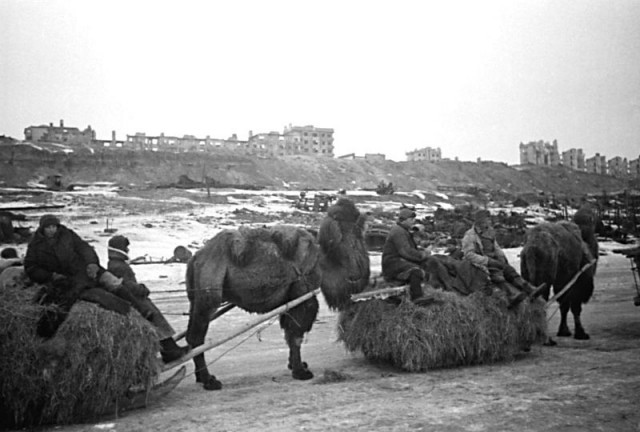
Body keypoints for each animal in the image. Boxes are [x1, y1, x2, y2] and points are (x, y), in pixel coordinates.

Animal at [184, 199, 370, 392]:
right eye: (358, 235)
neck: (322, 259)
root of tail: (196, 257)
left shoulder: (289, 299)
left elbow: (289, 333)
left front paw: (296, 365)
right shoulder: (302, 295)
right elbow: (296, 334)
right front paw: (300, 372)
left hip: (195, 300)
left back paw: (202, 377)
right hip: (207, 299)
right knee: (197, 338)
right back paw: (209, 380)